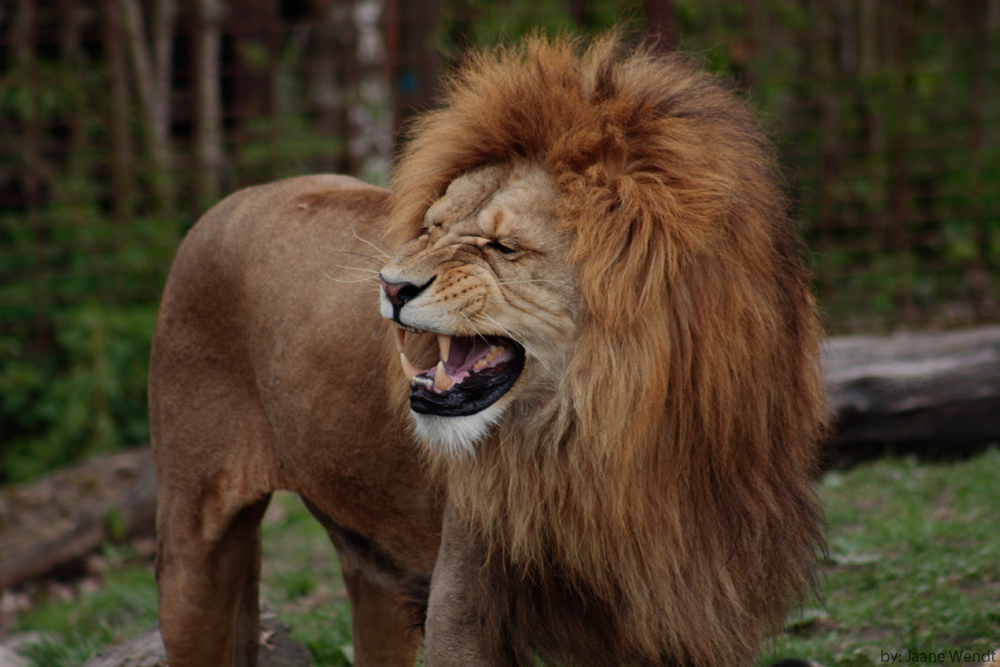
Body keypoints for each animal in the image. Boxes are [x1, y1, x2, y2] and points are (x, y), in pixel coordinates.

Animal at [148, 31, 824, 667]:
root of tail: (236, 197)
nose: (390, 284)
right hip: (191, 540)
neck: (621, 444)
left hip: (373, 573)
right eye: (433, 228)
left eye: (502, 247)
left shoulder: (697, 615)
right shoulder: (462, 608)